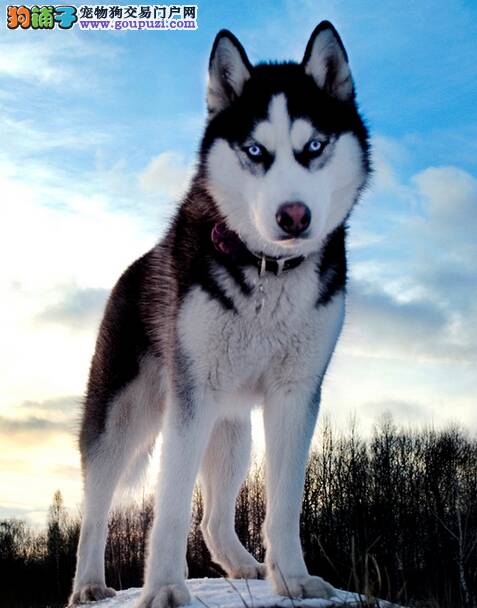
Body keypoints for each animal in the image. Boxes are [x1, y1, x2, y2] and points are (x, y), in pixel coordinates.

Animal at [69, 21, 370, 608]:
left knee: (212, 519)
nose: (294, 215)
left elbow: (284, 504)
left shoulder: (295, 395)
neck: (267, 269)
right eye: (255, 150)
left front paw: (293, 579)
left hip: (231, 429)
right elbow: (168, 506)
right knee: (96, 506)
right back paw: (89, 583)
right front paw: (164, 587)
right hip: (124, 417)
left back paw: (243, 565)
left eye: (314, 147)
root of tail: (133, 269)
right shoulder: (192, 398)